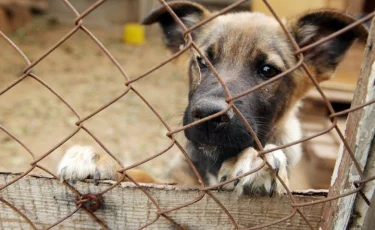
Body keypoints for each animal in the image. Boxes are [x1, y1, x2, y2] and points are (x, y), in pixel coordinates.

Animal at [57, 0, 368, 196]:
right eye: (203, 61)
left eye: (268, 71)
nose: (207, 115)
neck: (216, 158)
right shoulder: (174, 182)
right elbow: (141, 177)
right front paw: (99, 159)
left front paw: (255, 158)